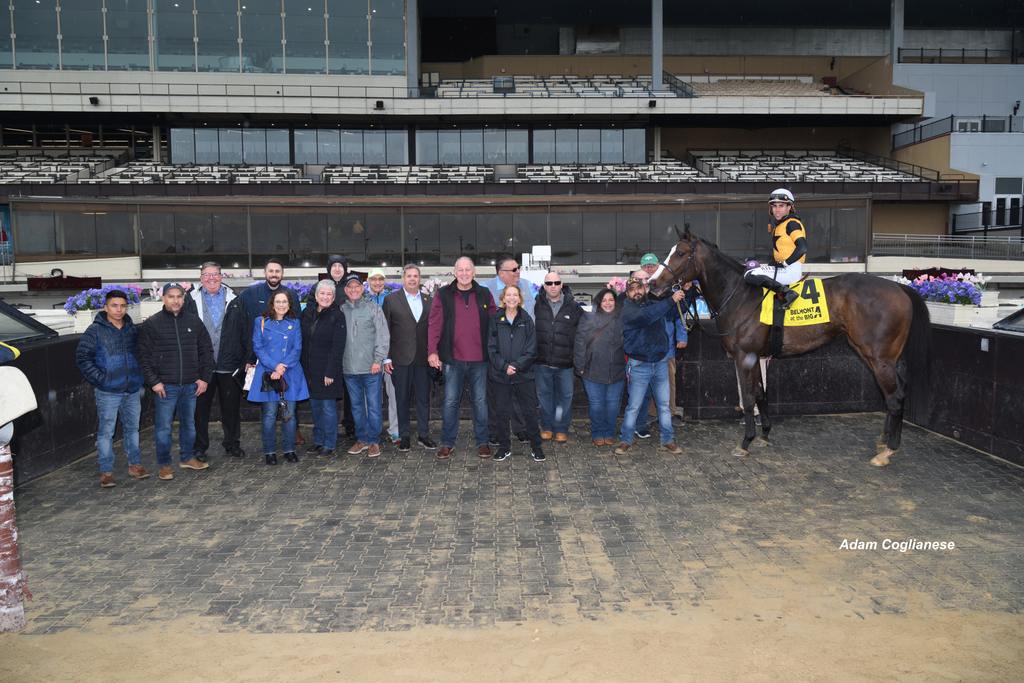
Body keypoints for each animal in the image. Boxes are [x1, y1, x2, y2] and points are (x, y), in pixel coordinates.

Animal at [651, 227, 933, 466]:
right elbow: (761, 394)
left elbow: (749, 398)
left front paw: (745, 442)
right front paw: (764, 435)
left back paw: (888, 451)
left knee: (894, 397)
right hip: (882, 355)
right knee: (894, 394)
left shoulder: (744, 356)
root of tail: (899, 287)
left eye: (680, 253)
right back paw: (884, 441)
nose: (653, 284)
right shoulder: (757, 357)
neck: (740, 295)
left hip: (879, 357)